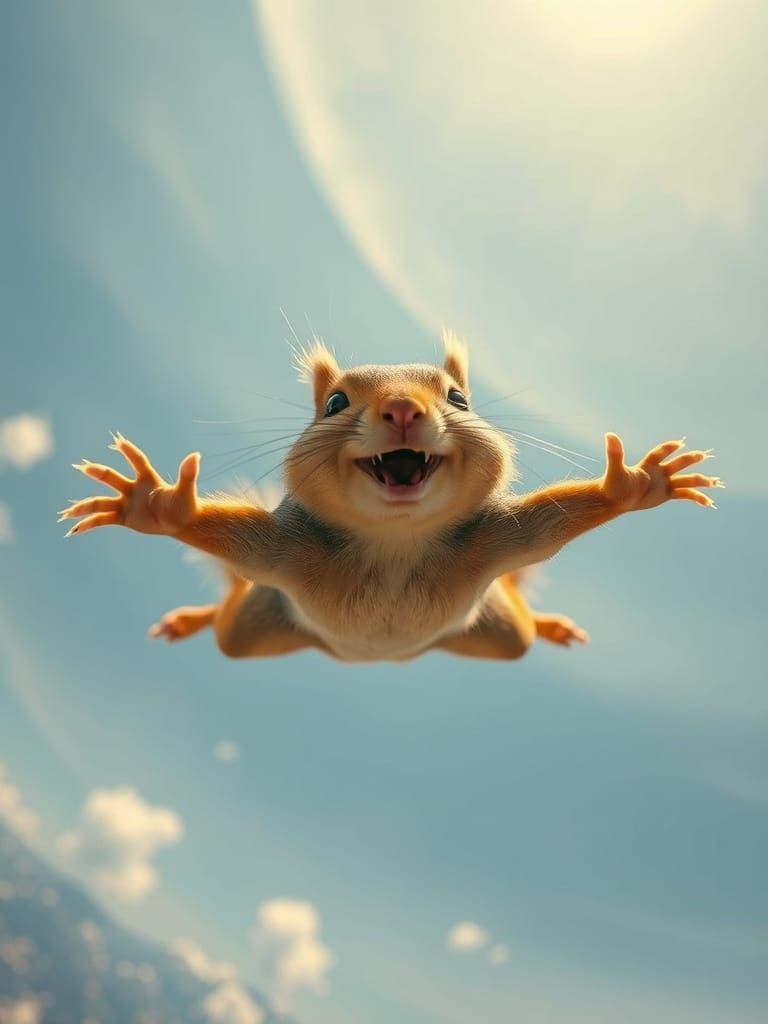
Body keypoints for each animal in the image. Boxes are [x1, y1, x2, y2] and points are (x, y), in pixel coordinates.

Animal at [59, 333, 722, 663]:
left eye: (459, 399)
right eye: (334, 403)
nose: (403, 408)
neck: (395, 541)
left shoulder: (497, 542)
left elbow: (548, 524)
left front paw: (633, 483)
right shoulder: (282, 554)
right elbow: (233, 537)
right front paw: (159, 502)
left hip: (498, 632)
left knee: (519, 626)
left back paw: (549, 625)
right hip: (253, 626)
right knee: (226, 623)